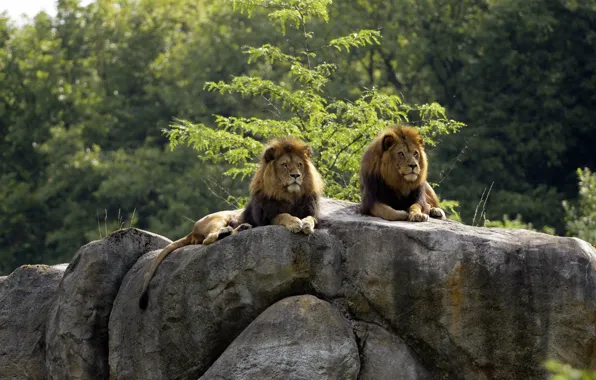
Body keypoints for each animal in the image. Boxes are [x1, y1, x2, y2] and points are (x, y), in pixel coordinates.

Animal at [139, 138, 326, 310]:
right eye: (285, 165)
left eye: (300, 165)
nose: (296, 176)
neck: (290, 195)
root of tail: (193, 229)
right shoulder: (267, 217)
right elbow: (284, 215)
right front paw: (295, 223)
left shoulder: (311, 211)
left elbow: (310, 218)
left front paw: (306, 225)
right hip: (218, 218)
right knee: (208, 239)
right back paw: (229, 231)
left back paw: (241, 228)